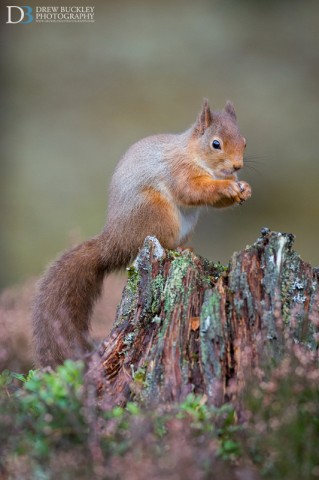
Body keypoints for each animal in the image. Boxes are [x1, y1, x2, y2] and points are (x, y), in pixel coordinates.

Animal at [32, 99, 252, 366]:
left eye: (244, 141)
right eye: (216, 144)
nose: (237, 165)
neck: (193, 154)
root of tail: (114, 242)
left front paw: (244, 188)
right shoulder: (178, 171)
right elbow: (192, 191)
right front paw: (227, 186)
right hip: (156, 212)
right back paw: (177, 248)